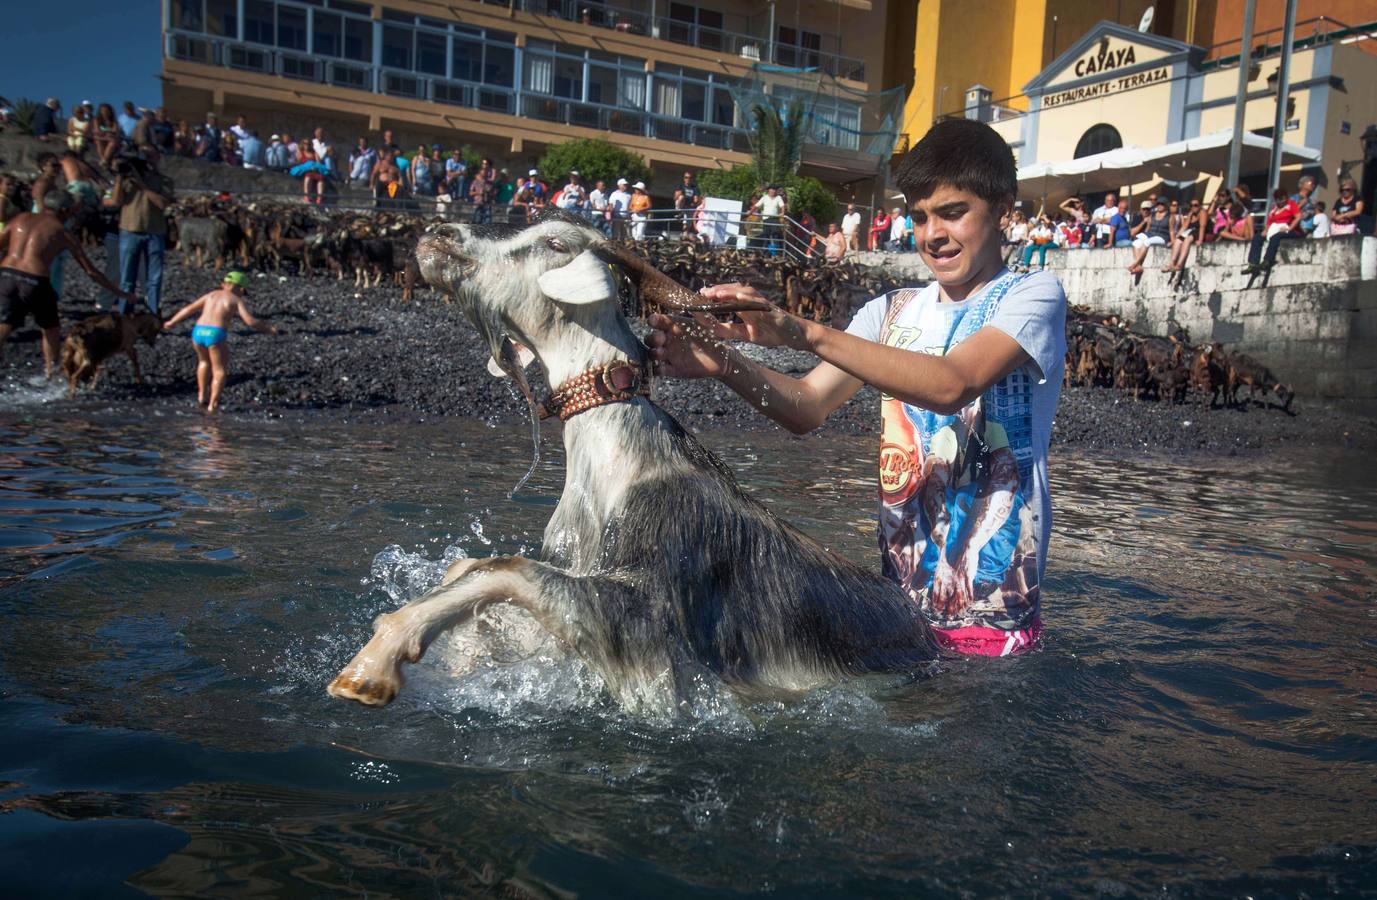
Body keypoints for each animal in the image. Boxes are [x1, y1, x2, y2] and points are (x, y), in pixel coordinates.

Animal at [327, 214, 941, 715]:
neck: (617, 464)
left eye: (554, 242)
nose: (440, 235)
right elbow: (473, 568)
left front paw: (374, 663)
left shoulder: (650, 625)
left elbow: (506, 569)